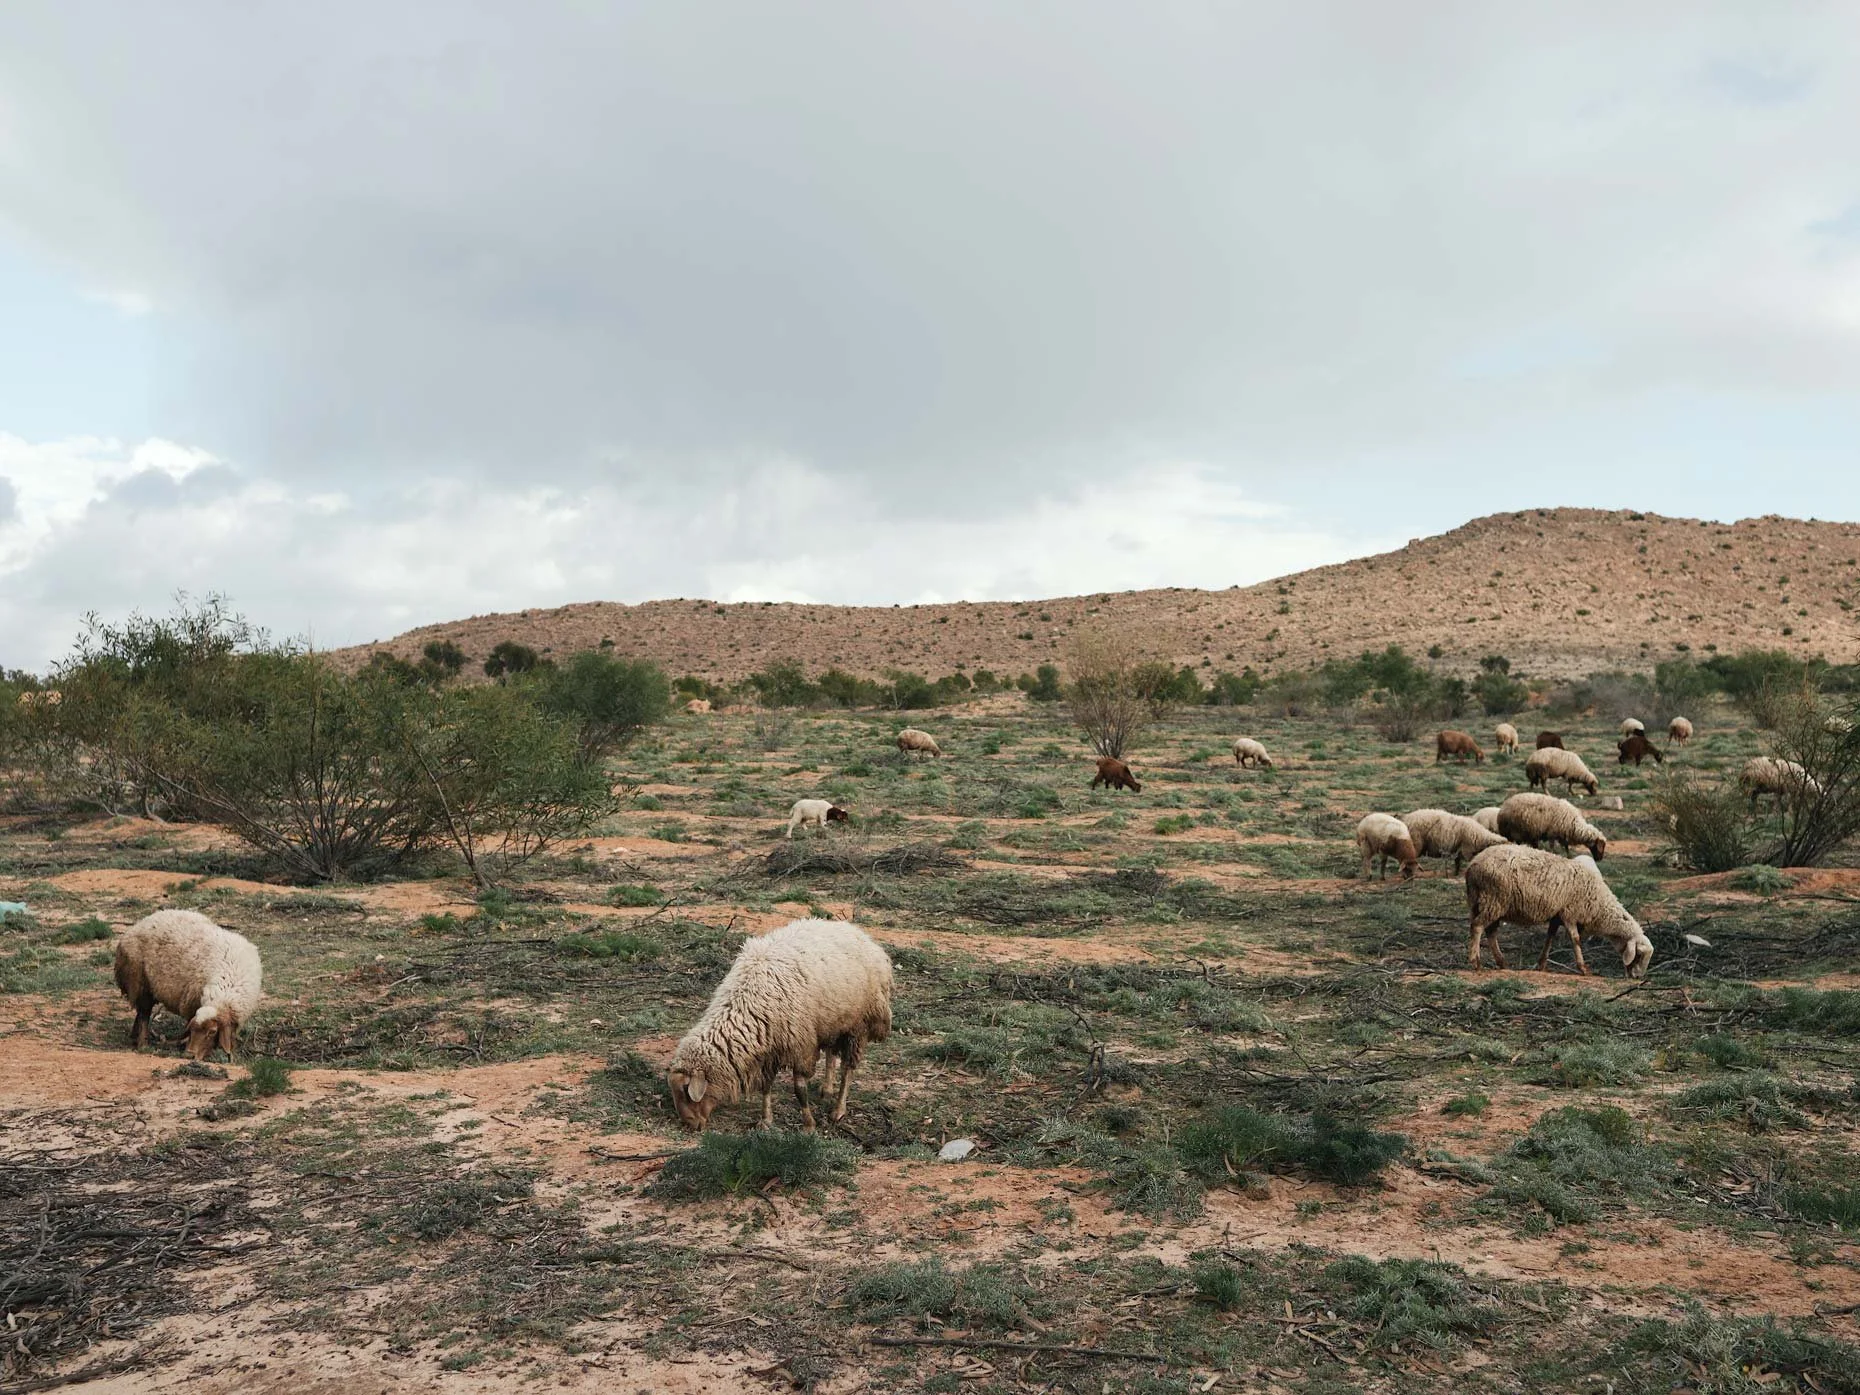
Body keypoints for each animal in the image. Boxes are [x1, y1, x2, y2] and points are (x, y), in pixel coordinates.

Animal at [112, 909, 262, 1060]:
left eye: (212, 1032)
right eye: (192, 1029)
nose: (189, 1055)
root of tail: (138, 925)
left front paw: (232, 1050)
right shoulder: (191, 1004)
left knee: (140, 1013)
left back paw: (134, 1036)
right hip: (140, 983)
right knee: (144, 1013)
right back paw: (142, 1043)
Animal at [668, 919, 892, 1132]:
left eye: (686, 1091)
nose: (690, 1125)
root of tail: (858, 933)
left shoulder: (800, 1046)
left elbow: (799, 1089)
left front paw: (808, 1125)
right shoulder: (770, 1047)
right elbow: (766, 1087)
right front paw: (766, 1120)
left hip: (858, 1026)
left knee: (848, 1068)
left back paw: (838, 1110)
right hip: (831, 1021)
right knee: (831, 1052)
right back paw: (827, 1089)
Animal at [1464, 845, 1653, 977]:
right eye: (1639, 955)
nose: (1637, 977)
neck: (1600, 906)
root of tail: (1472, 865)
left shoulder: (1557, 916)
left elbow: (1550, 937)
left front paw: (1541, 964)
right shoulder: (1570, 913)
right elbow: (1576, 940)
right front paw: (1583, 968)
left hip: (1485, 903)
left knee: (1490, 932)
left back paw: (1502, 963)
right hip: (1493, 900)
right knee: (1477, 927)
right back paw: (1476, 962)